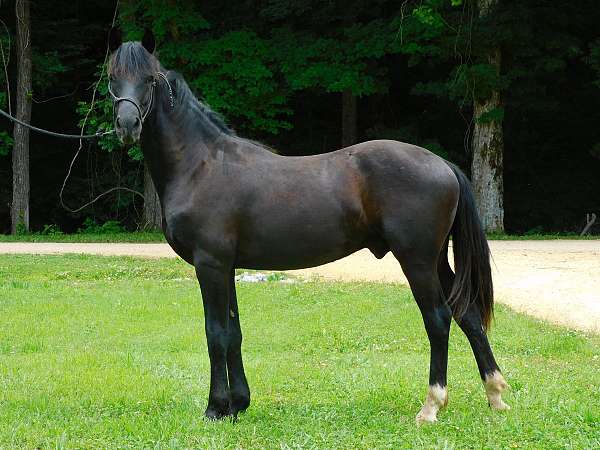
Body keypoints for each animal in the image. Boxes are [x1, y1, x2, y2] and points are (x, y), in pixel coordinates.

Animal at [106, 29, 506, 424]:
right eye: (112, 77)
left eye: (149, 79)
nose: (127, 126)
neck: (199, 164)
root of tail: (443, 165)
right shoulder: (227, 267)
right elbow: (234, 333)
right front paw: (238, 404)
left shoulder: (211, 265)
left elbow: (215, 333)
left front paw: (216, 408)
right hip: (437, 261)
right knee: (468, 314)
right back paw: (495, 395)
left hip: (417, 260)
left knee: (438, 319)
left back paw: (432, 406)